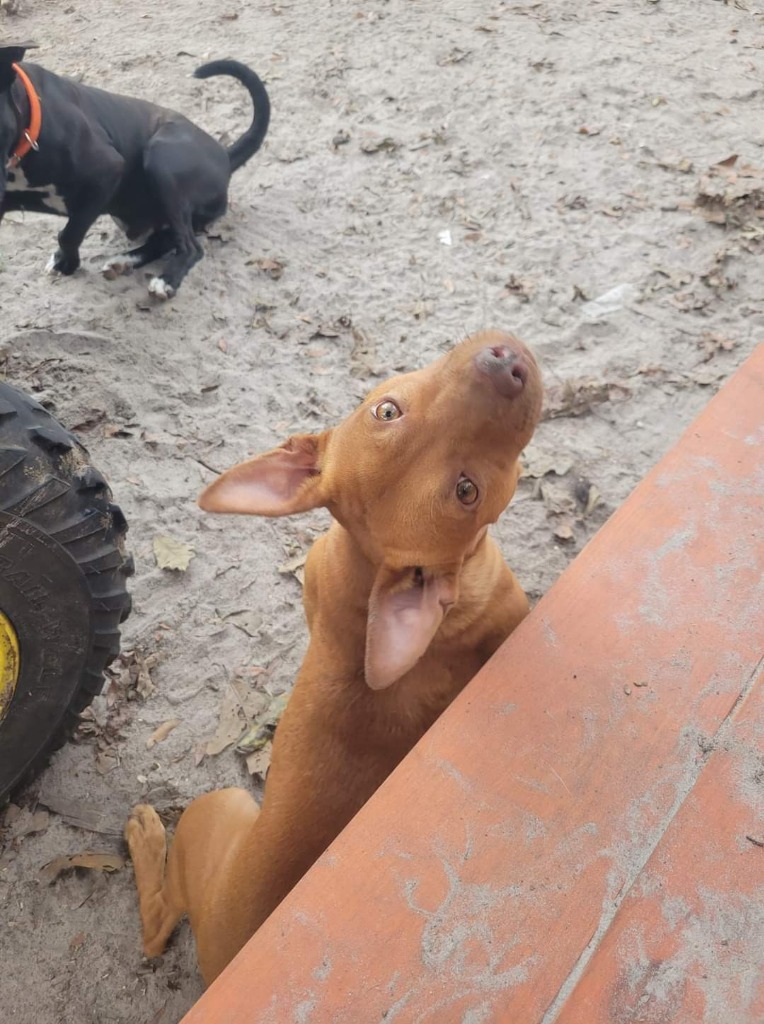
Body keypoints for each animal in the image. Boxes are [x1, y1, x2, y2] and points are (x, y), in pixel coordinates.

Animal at [0, 45, 270, 299]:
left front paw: (67, 263)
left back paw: (166, 280)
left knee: (191, 246)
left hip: (162, 159)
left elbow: (69, 233)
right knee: (165, 240)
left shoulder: (107, 172)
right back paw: (124, 261)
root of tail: (225, 154)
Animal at [124, 327, 540, 983]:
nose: (504, 364)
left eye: (466, 489)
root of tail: (227, 960)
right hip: (213, 809)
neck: (368, 569)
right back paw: (145, 839)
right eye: (387, 411)